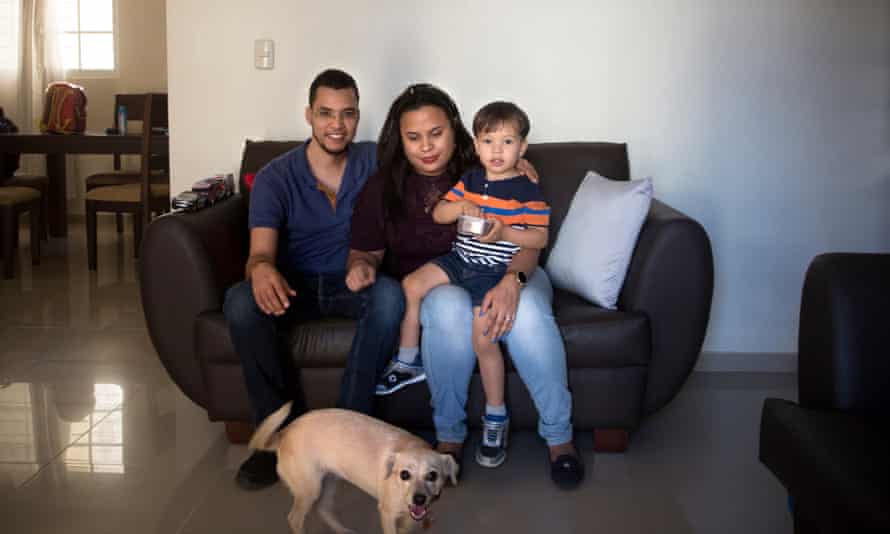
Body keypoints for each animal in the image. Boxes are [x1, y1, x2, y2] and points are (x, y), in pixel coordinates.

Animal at [250, 406, 458, 534]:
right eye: (404, 474)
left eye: (432, 475)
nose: (419, 499)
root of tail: (285, 432)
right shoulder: (387, 514)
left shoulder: (410, 517)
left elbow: (407, 527)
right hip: (309, 491)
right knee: (294, 519)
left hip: (330, 482)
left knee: (324, 509)